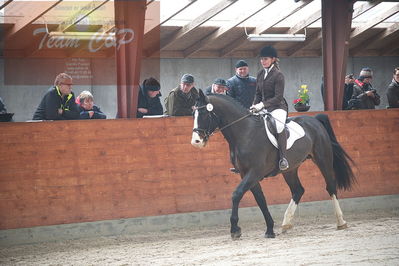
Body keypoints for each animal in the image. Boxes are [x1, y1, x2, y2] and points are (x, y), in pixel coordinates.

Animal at [191, 90, 356, 240]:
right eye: (194, 114)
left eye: (204, 113)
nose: (196, 141)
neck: (245, 133)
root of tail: (314, 120)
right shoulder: (246, 174)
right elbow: (261, 200)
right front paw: (270, 229)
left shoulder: (254, 172)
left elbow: (237, 194)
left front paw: (235, 229)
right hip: (290, 169)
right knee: (298, 190)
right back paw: (286, 224)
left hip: (323, 160)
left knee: (331, 187)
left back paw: (341, 222)